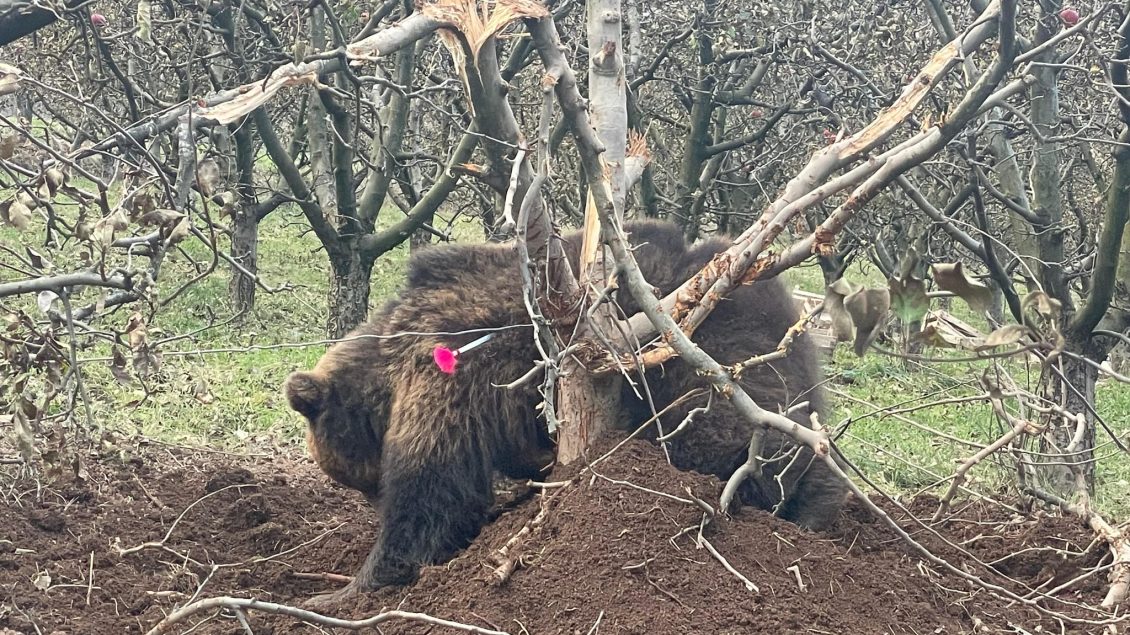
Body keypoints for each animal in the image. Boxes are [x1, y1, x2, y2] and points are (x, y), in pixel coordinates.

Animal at [284, 219, 849, 596]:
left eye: (358, 479)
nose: (369, 498)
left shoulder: (449, 378)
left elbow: (433, 493)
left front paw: (347, 588)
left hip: (700, 366)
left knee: (724, 446)